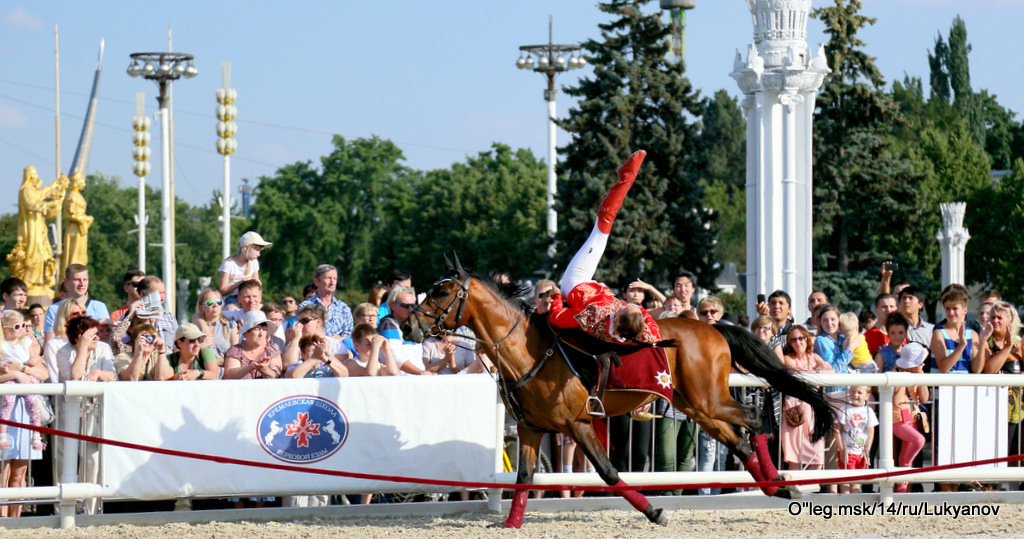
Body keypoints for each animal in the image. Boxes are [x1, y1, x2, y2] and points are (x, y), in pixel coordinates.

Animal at [411, 260, 835, 528]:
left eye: (442, 292)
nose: (414, 323)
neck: (528, 351)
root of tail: (712, 327)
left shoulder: (578, 423)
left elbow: (609, 472)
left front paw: (655, 512)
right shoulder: (532, 429)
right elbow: (525, 477)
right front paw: (511, 524)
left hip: (708, 400)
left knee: (754, 420)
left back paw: (777, 481)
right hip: (695, 407)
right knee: (739, 440)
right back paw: (773, 485)